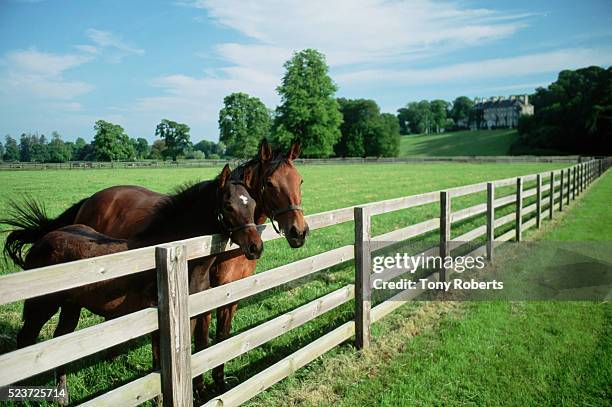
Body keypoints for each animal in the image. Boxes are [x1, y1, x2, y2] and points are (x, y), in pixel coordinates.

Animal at [4, 140, 308, 398]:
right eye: (269, 184)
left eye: (300, 180)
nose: (299, 232)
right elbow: (185, 352)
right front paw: (199, 389)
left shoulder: (227, 296)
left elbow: (219, 339)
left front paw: (217, 384)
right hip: (42, 304)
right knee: (27, 340)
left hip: (71, 305)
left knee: (61, 341)